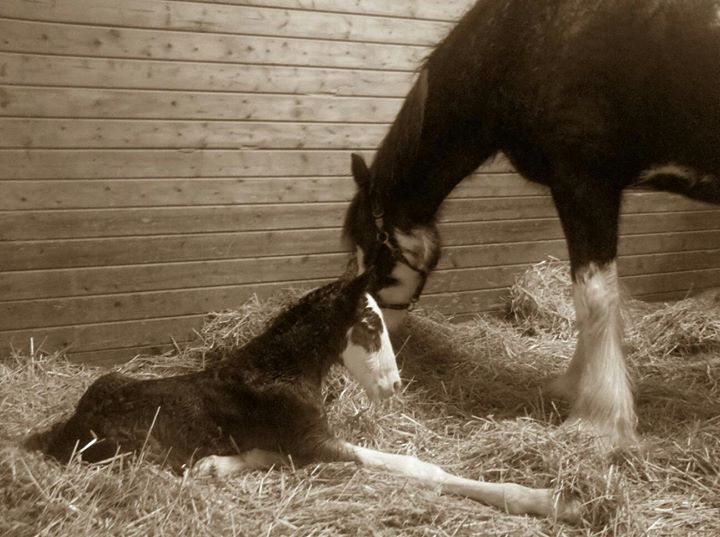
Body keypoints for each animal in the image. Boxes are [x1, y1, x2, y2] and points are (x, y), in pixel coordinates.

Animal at [24, 271, 579, 521]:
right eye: (370, 326)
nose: (395, 386)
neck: (278, 372)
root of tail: (68, 428)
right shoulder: (317, 442)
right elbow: (417, 466)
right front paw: (551, 501)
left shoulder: (306, 441)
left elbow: (269, 453)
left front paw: (218, 464)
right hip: (136, 454)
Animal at [343, 0, 720, 450]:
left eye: (372, 254)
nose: (374, 327)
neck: (516, 42)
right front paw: (575, 386)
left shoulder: (584, 182)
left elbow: (594, 296)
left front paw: (599, 421)